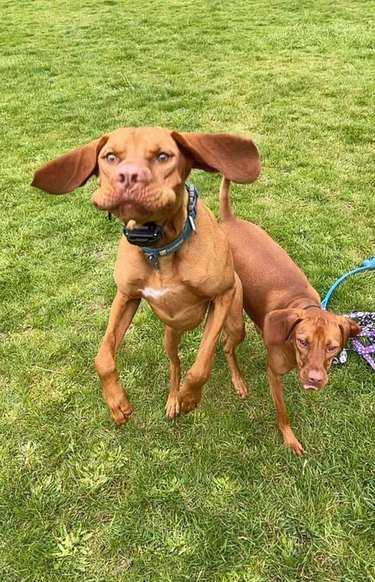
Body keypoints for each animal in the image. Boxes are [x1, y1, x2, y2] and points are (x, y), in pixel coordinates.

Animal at [32, 128, 262, 426]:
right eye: (110, 157)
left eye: (163, 156)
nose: (128, 176)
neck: (159, 247)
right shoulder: (125, 297)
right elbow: (102, 358)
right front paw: (116, 402)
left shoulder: (222, 297)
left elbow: (201, 365)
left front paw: (191, 397)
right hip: (170, 334)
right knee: (175, 364)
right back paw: (173, 398)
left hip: (234, 323)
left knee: (225, 348)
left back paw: (232, 382)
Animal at [220, 178, 362, 456]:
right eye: (302, 341)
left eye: (332, 348)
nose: (315, 379)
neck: (304, 305)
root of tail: (230, 220)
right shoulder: (273, 373)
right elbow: (282, 413)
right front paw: (289, 438)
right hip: (235, 316)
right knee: (227, 347)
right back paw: (238, 380)